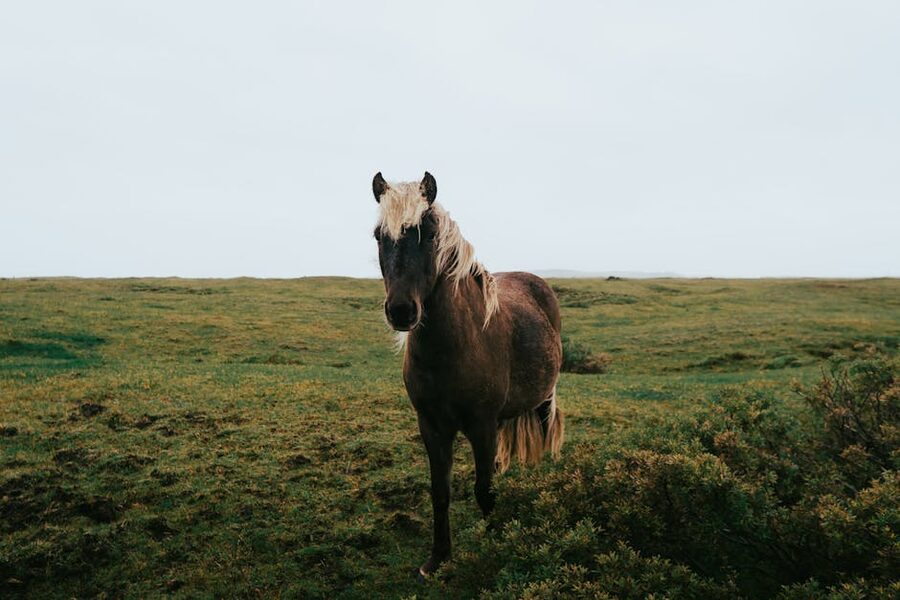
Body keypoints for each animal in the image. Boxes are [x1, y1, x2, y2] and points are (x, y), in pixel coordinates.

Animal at [370, 171, 564, 578]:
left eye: (429, 234)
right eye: (379, 235)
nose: (401, 311)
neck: (452, 349)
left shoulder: (481, 424)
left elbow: (483, 490)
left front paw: (493, 544)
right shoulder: (431, 425)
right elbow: (440, 492)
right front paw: (438, 557)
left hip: (543, 399)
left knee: (544, 434)